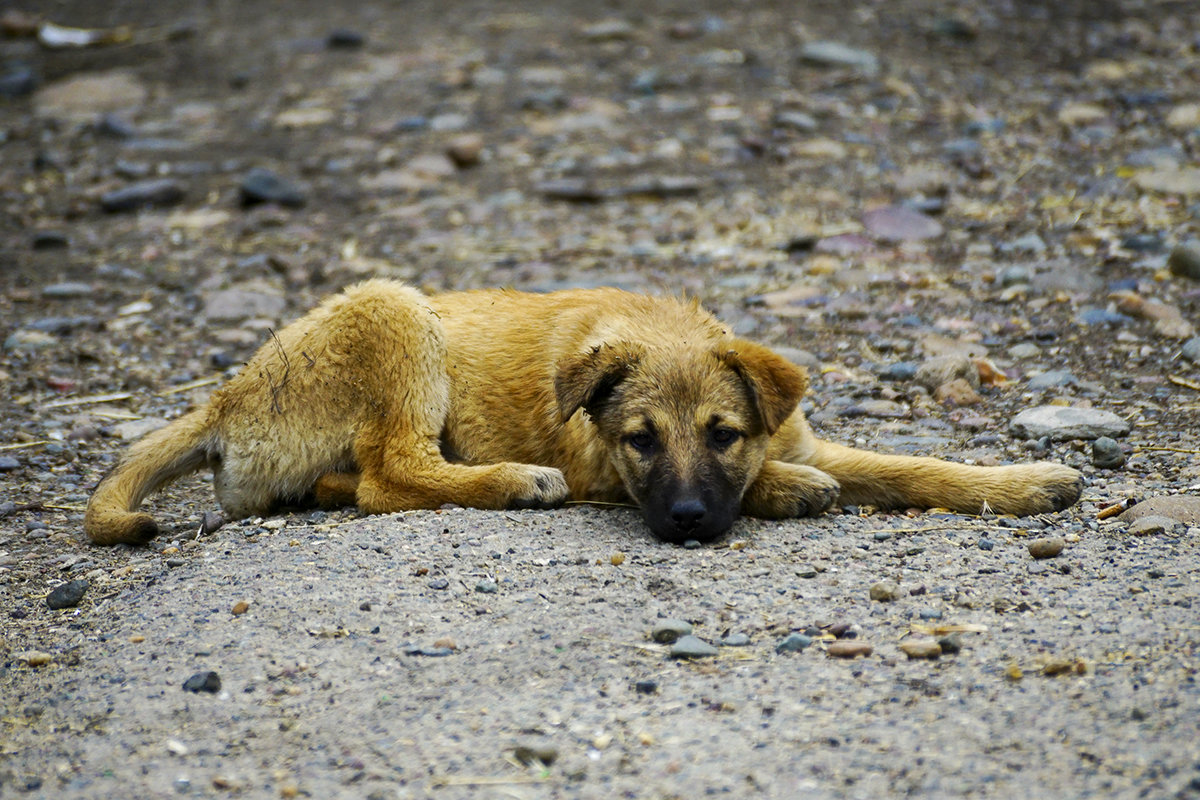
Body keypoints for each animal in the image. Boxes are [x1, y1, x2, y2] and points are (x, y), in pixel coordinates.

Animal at [79, 278, 1084, 546]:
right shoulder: (605, 467)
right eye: (641, 440)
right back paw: (514, 480)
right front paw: (791, 490)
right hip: (394, 310)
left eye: (722, 433)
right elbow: (791, 478)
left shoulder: (796, 431)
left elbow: (915, 466)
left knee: (352, 480)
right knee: (390, 475)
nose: (688, 523)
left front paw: (1025, 483)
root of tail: (225, 397)